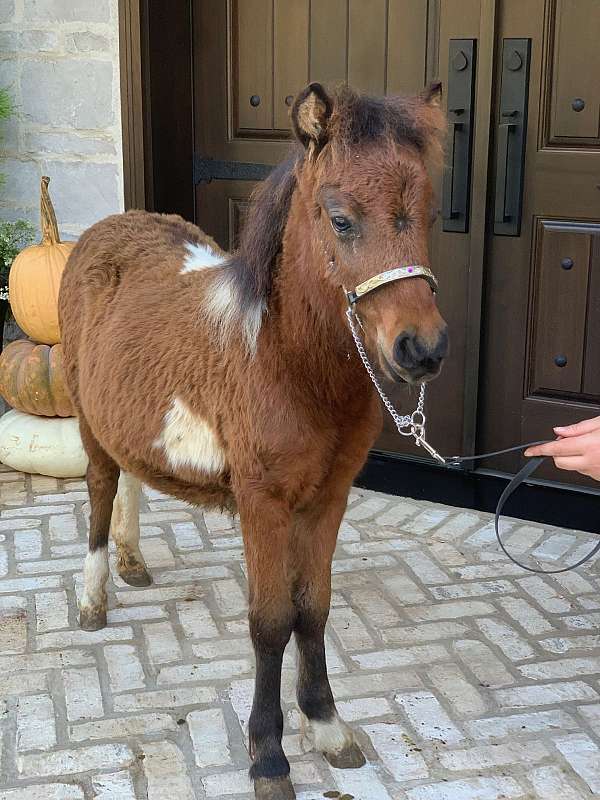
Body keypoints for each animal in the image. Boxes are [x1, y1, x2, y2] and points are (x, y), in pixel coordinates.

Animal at [59, 81, 448, 800]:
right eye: (340, 219)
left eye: (429, 212)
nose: (422, 349)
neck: (282, 361)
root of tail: (107, 228)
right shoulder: (263, 503)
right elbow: (270, 622)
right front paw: (268, 755)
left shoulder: (329, 498)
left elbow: (313, 610)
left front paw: (327, 726)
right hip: (85, 415)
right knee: (100, 486)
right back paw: (94, 596)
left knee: (130, 475)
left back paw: (132, 561)